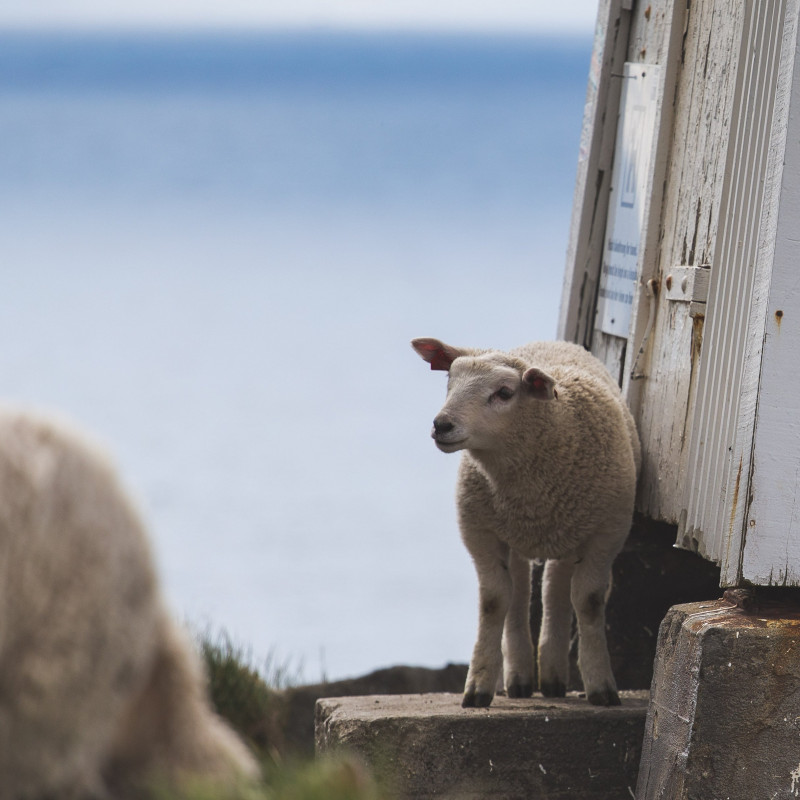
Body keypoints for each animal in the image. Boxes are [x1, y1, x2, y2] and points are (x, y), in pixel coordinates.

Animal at [412, 338, 644, 708]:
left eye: (504, 393)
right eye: (449, 381)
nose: (441, 425)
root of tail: (553, 342)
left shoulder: (608, 533)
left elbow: (589, 600)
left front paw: (601, 686)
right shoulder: (479, 531)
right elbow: (494, 601)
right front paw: (478, 686)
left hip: (570, 527)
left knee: (554, 587)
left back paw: (551, 674)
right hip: (515, 531)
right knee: (519, 590)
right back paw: (521, 677)